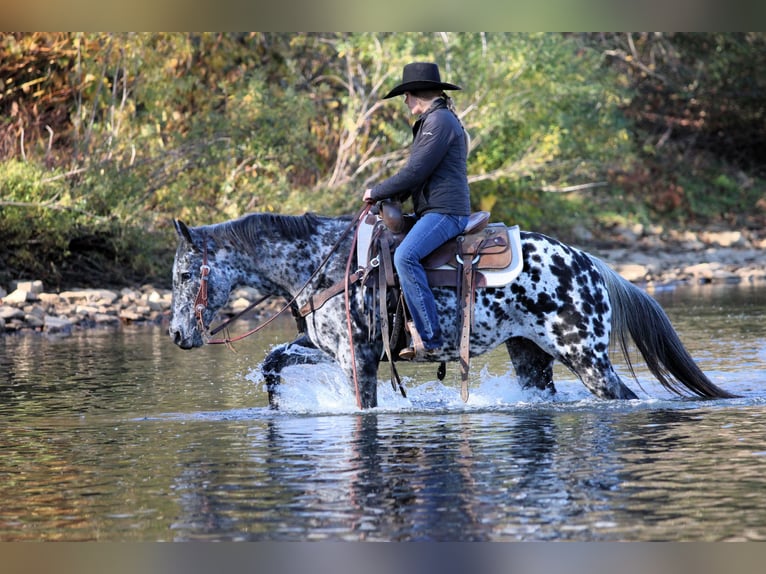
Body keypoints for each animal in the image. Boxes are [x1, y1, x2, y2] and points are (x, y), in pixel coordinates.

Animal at [168, 211, 737, 409]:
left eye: (182, 276)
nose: (176, 336)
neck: (325, 260)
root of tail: (590, 262)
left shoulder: (358, 360)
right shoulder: (325, 349)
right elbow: (272, 363)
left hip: (588, 359)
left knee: (621, 397)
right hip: (531, 357)